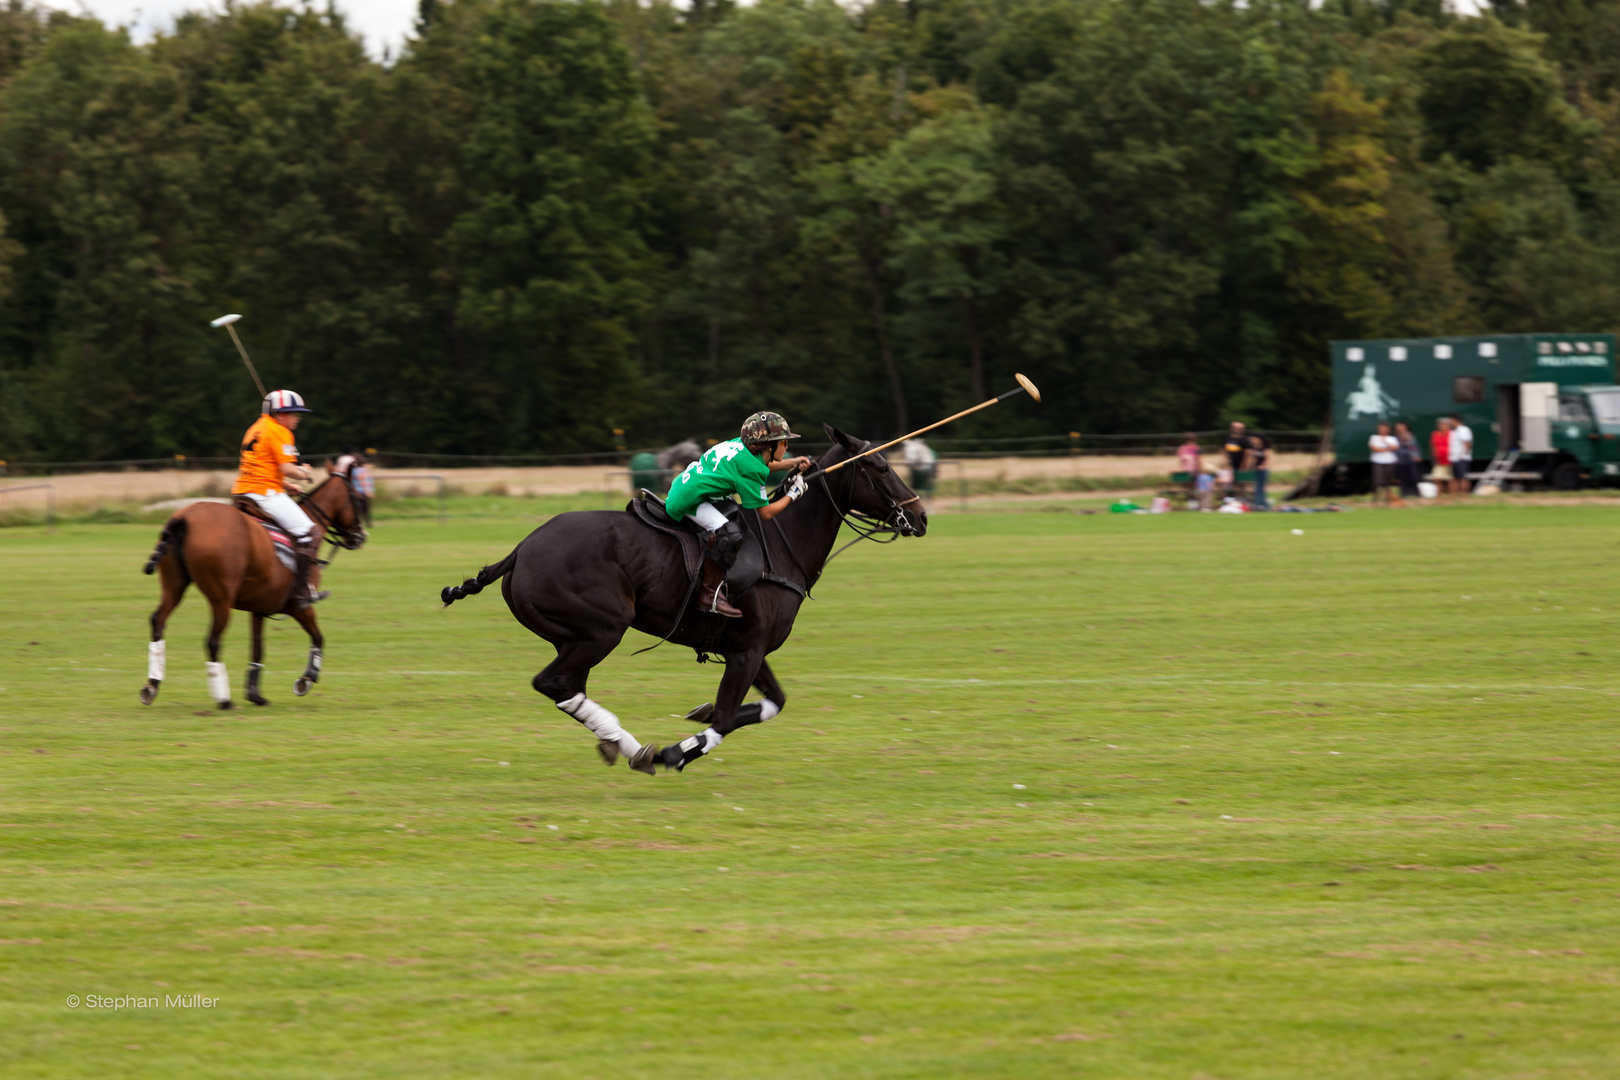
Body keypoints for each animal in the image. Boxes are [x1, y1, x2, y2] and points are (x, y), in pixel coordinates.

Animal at [137, 463, 369, 709]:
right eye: (356, 497)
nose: (360, 536)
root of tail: (185, 518)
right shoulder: (300, 606)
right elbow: (318, 637)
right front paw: (306, 679)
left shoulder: (260, 607)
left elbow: (258, 649)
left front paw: (255, 694)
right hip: (221, 598)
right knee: (212, 640)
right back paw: (223, 698)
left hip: (174, 586)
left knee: (158, 620)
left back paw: (152, 685)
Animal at [440, 427, 926, 773]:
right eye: (880, 467)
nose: (920, 516)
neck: (784, 542)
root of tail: (521, 551)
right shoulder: (747, 650)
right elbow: (726, 719)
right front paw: (678, 751)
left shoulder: (749, 648)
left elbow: (772, 703)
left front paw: (699, 712)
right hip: (602, 628)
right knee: (554, 682)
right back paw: (639, 750)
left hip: (571, 636)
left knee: (568, 687)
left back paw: (620, 744)